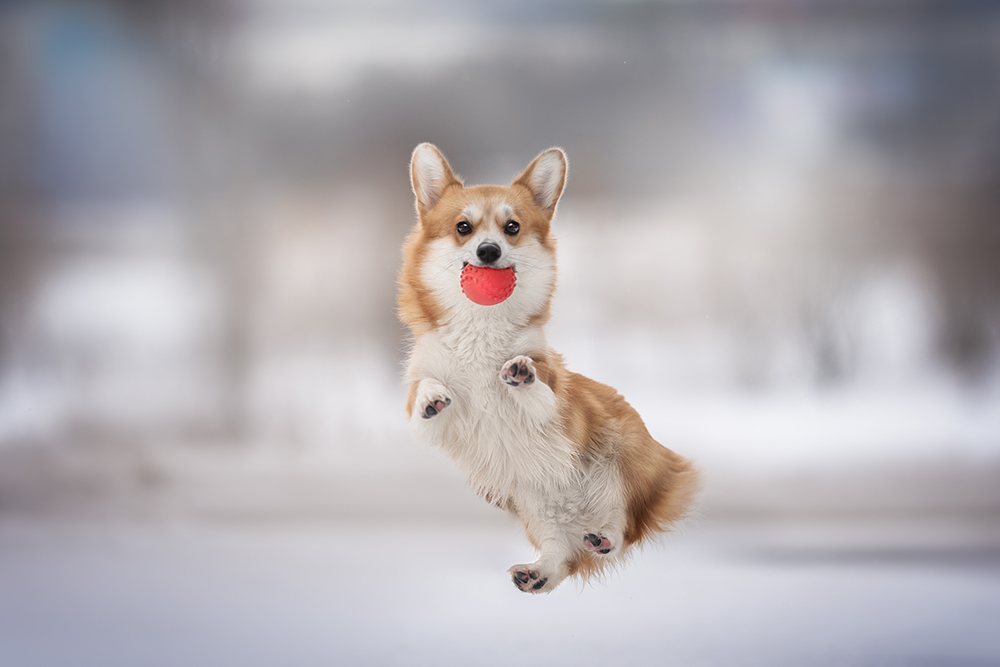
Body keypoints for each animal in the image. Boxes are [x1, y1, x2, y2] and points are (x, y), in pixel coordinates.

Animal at [396, 144, 696, 592]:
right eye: (463, 227)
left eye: (512, 227)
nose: (488, 251)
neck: (481, 327)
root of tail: (580, 515)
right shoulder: (430, 409)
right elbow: (424, 400)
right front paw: (433, 396)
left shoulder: (558, 406)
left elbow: (542, 392)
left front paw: (521, 374)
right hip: (532, 505)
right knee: (563, 553)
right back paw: (538, 573)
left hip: (621, 464)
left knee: (625, 524)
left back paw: (605, 536)